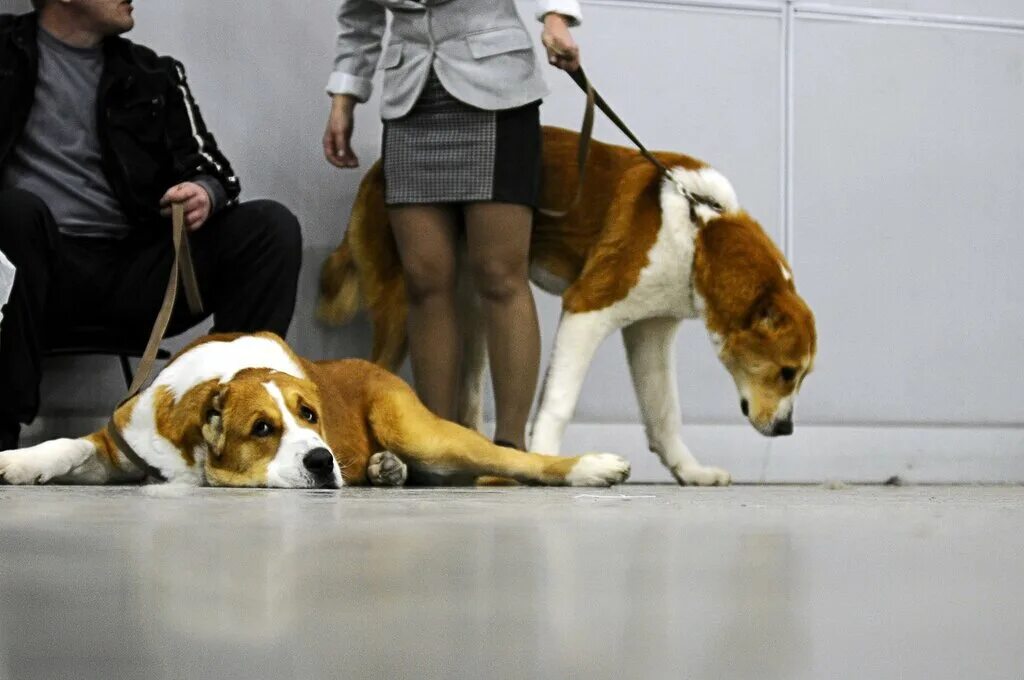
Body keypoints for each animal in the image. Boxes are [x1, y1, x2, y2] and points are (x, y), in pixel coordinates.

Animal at [317, 127, 815, 485]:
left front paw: (690, 472)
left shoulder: (650, 331)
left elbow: (664, 415)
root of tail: (376, 169)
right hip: (408, 300)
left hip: (474, 307)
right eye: (786, 372)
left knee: (465, 400)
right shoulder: (587, 309)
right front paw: (554, 461)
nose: (787, 431)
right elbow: (558, 402)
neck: (699, 233)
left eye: (800, 376)